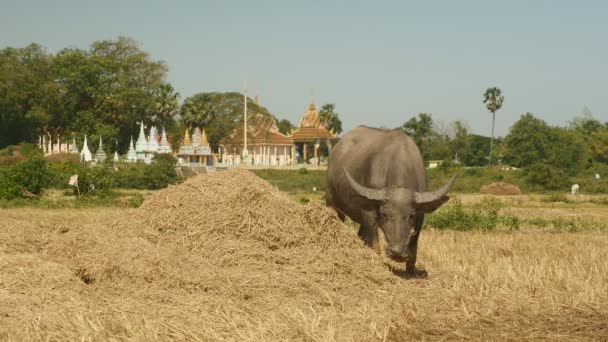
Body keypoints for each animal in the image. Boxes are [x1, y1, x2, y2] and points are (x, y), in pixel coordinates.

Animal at [326, 124, 454, 272]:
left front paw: (411, 271)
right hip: (331, 200)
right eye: (385, 214)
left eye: (411, 215)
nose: (397, 252)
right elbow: (375, 244)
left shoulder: (420, 216)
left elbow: (414, 247)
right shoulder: (369, 211)